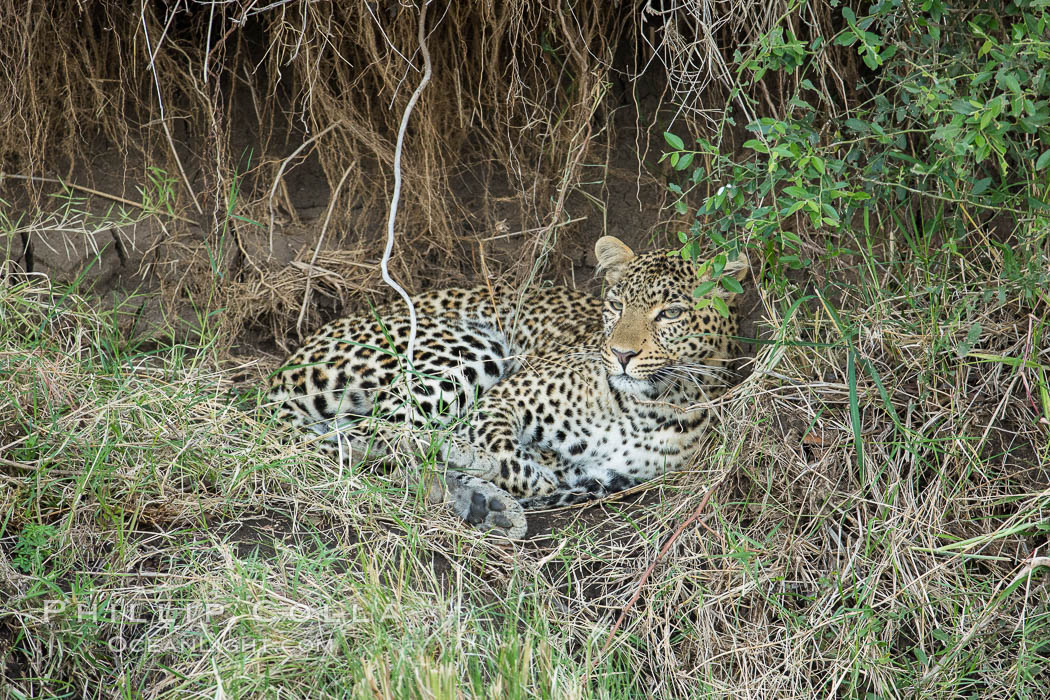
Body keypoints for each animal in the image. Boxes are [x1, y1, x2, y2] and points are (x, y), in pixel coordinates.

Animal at [268, 235, 747, 537]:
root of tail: (286, 368)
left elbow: (546, 480)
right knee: (369, 433)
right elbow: (516, 465)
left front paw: (483, 493)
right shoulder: (506, 398)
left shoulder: (606, 477)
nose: (621, 354)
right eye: (616, 305)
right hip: (467, 347)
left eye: (671, 313)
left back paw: (485, 506)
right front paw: (474, 460)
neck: (647, 405)